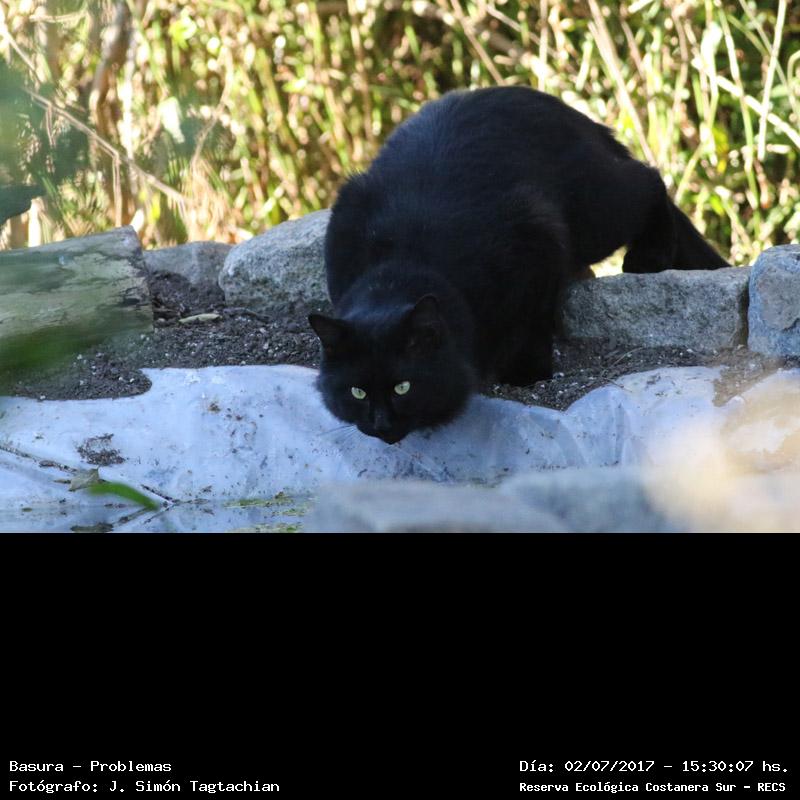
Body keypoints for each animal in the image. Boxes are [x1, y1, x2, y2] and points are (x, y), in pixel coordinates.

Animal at [309, 86, 729, 444]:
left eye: (403, 387)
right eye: (357, 392)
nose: (381, 424)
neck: (403, 266)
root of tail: (572, 114)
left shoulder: (536, 235)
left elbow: (533, 319)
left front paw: (527, 373)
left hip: (594, 214)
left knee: (649, 179)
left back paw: (649, 256)